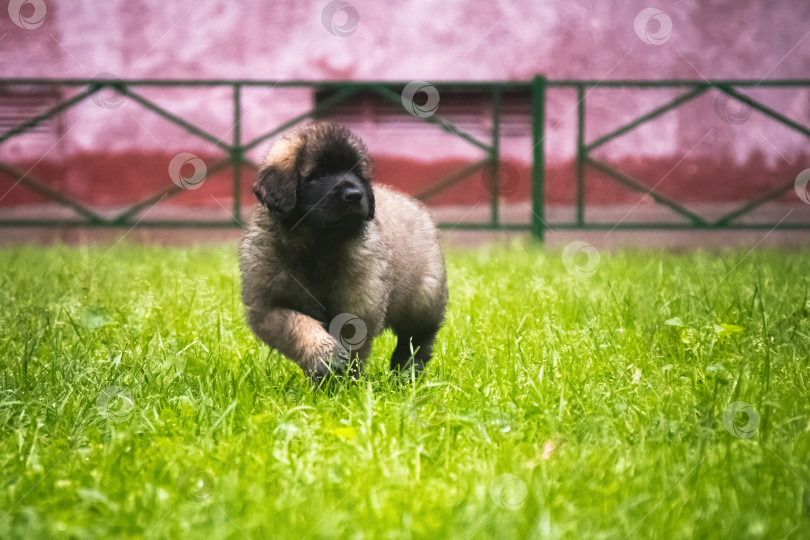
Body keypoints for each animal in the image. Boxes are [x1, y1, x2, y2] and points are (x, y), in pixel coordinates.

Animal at [237, 122, 448, 380]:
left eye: (357, 174)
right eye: (319, 174)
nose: (355, 195)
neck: (317, 246)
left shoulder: (357, 309)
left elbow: (354, 350)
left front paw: (345, 382)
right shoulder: (268, 308)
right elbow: (298, 326)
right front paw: (324, 358)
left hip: (423, 301)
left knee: (417, 340)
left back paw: (406, 374)